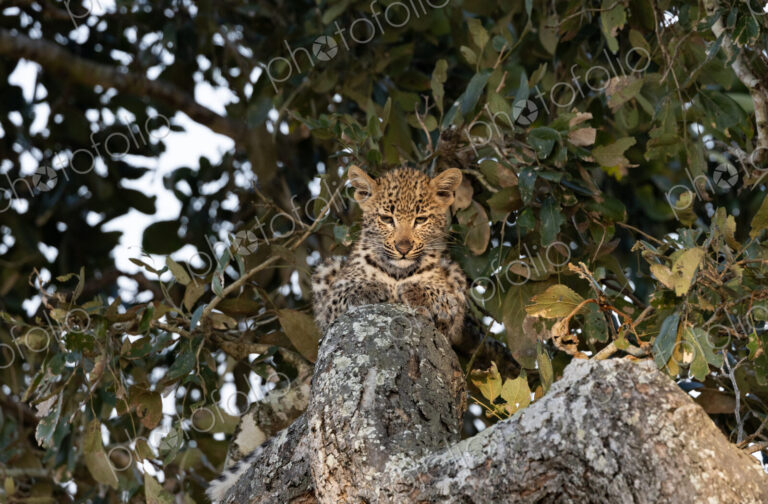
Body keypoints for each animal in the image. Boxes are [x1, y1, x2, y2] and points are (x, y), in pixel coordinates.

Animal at [311, 165, 467, 343]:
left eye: (421, 220)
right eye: (386, 219)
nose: (403, 248)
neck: (397, 273)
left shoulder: (454, 307)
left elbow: (442, 297)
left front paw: (414, 290)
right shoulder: (330, 303)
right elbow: (347, 291)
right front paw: (372, 288)